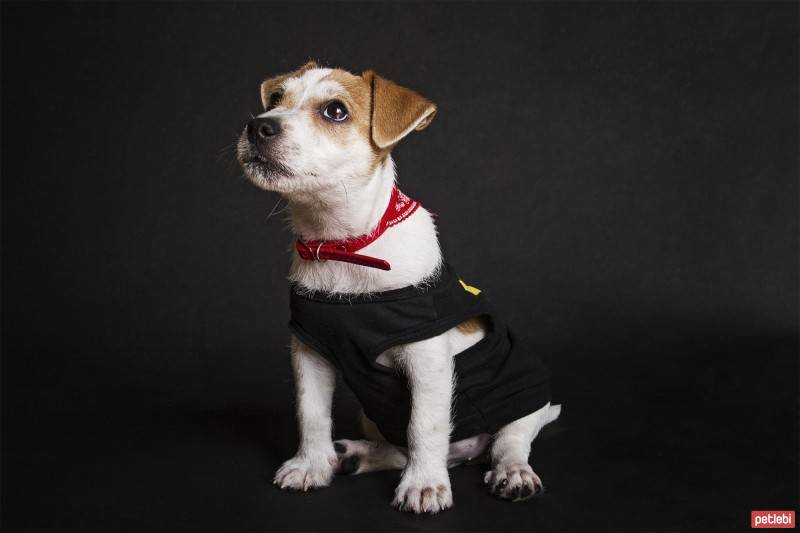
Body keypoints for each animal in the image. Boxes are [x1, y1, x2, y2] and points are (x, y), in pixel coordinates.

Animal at [238, 60, 564, 512]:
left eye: (335, 111)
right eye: (274, 99)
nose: (259, 126)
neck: (344, 246)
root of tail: (465, 455)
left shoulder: (426, 359)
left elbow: (424, 425)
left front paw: (424, 484)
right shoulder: (309, 351)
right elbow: (312, 413)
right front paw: (311, 465)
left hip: (524, 393)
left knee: (508, 441)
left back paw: (511, 472)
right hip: (371, 415)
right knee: (399, 447)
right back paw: (353, 455)